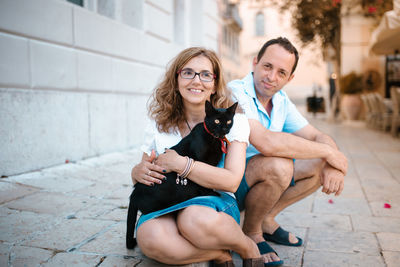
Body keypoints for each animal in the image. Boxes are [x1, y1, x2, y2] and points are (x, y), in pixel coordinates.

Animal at [125, 100, 238, 249]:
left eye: (229, 121)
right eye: (217, 120)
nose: (225, 129)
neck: (214, 139)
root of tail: (134, 194)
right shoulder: (201, 161)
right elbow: (202, 184)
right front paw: (210, 193)